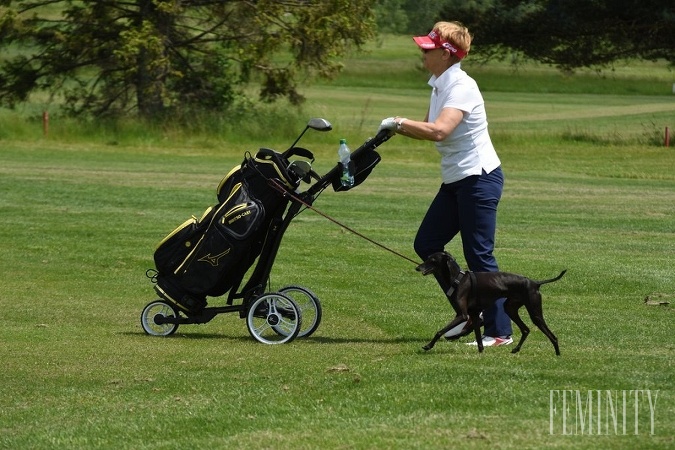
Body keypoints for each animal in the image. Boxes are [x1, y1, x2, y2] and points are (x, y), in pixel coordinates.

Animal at [418, 251, 564, 354]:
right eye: (427, 258)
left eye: (432, 260)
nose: (417, 268)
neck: (458, 279)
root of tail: (535, 283)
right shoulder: (474, 315)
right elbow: (478, 339)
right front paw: (481, 352)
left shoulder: (462, 315)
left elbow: (439, 331)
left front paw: (428, 346)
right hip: (510, 308)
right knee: (526, 329)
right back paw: (516, 349)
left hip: (535, 313)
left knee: (552, 335)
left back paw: (557, 355)